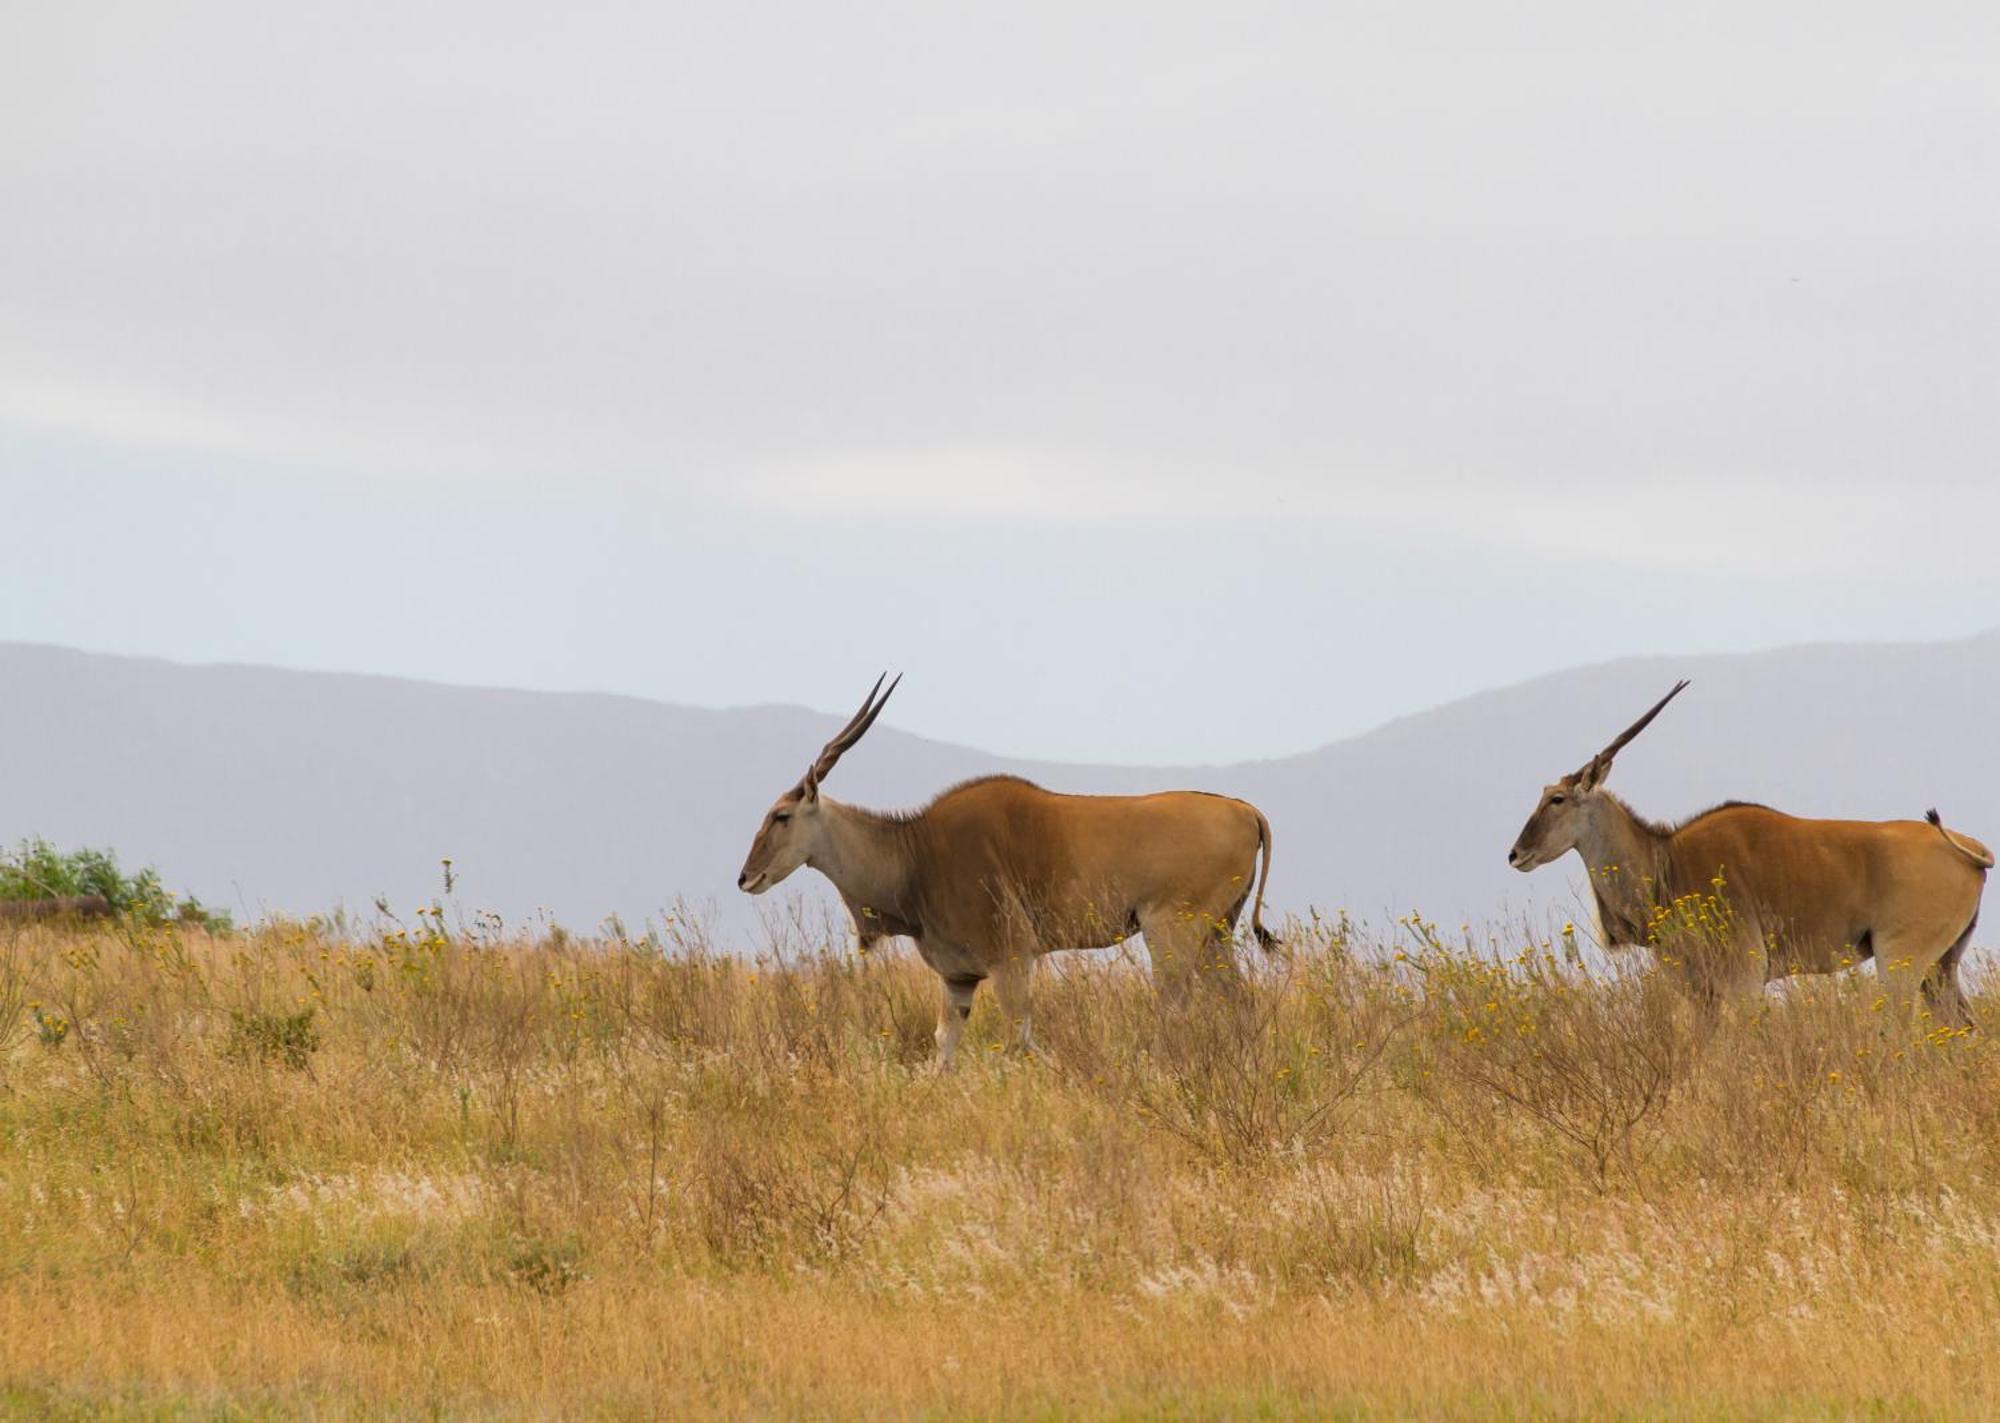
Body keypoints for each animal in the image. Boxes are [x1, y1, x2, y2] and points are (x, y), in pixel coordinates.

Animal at [736, 679, 1280, 1071]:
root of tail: (1247, 810)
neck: (916, 854)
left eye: (781, 815)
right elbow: (945, 1045)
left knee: (1175, 1007)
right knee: (1241, 1003)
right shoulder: (958, 978)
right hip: (1217, 935)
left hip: (1171, 933)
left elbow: (1019, 1038)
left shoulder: (1012, 959)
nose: (745, 878)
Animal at [1512, 687, 1984, 1031]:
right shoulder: (1698, 991)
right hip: (1940, 968)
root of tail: (1972, 850)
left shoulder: (1743, 982)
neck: (1667, 862)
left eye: (1557, 799)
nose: (1515, 854)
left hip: (1900, 961)